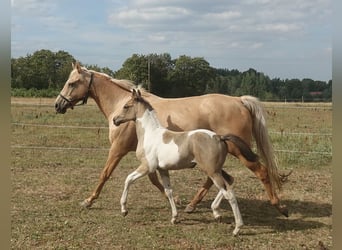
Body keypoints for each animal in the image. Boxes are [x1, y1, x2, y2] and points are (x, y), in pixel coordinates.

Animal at [113, 89, 258, 235]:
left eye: (126, 106)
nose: (115, 120)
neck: (151, 134)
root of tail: (219, 137)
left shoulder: (148, 166)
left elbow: (128, 179)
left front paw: (124, 210)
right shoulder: (163, 169)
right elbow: (169, 191)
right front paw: (174, 218)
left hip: (211, 171)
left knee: (229, 193)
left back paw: (237, 228)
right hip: (216, 169)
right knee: (230, 181)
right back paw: (216, 212)